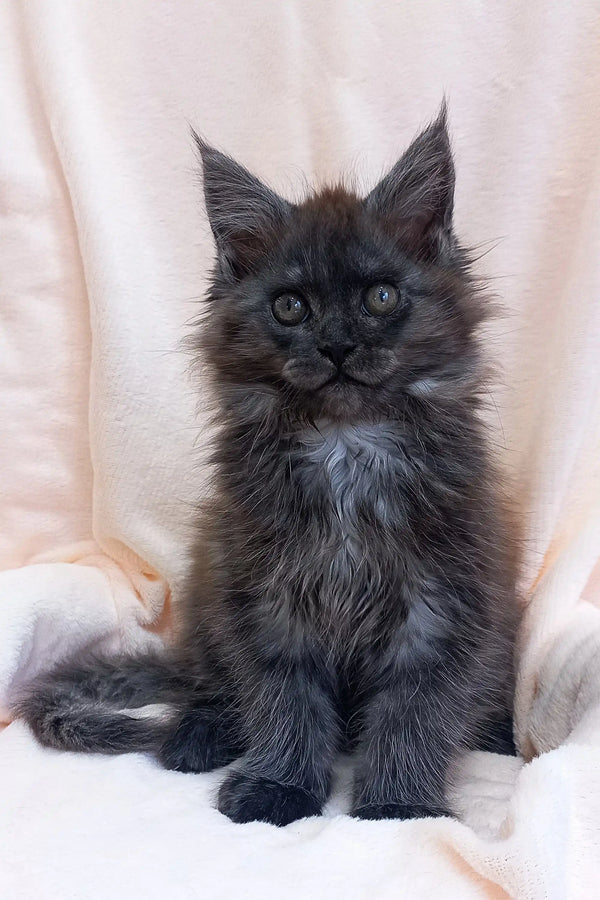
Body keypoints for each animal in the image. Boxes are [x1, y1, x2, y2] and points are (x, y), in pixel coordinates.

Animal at [17, 103, 516, 824]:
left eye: (381, 298)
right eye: (289, 306)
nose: (336, 345)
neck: (346, 448)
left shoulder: (443, 604)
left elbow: (414, 714)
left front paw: (397, 805)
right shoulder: (264, 600)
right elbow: (286, 703)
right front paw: (279, 785)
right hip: (209, 603)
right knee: (213, 688)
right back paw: (198, 735)